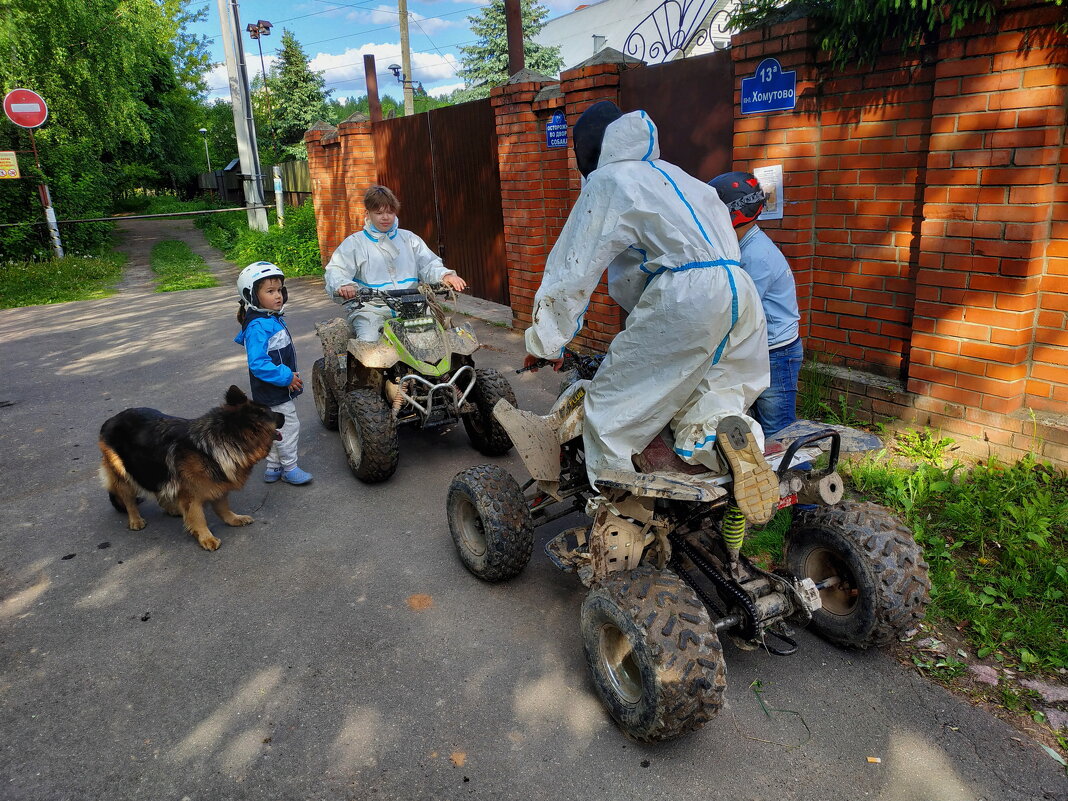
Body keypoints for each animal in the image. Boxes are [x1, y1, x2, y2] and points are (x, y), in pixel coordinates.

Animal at [98, 386, 284, 551]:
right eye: (271, 413)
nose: (283, 415)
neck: (222, 439)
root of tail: (111, 420)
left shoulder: (217, 485)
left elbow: (223, 508)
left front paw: (233, 519)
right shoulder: (191, 495)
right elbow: (198, 517)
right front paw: (206, 537)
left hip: (154, 468)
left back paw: (171, 508)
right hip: (124, 474)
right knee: (128, 500)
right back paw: (135, 520)